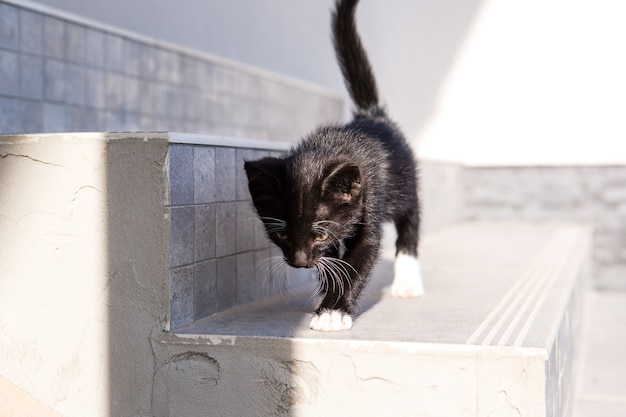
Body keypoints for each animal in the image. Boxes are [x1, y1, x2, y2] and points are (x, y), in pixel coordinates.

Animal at [241, 0, 422, 332]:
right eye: (281, 235)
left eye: (319, 235)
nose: (300, 262)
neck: (329, 148)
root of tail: (372, 115)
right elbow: (333, 260)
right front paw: (325, 294)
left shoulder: (370, 201)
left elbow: (359, 259)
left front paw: (333, 312)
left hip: (405, 184)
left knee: (411, 220)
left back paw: (407, 280)